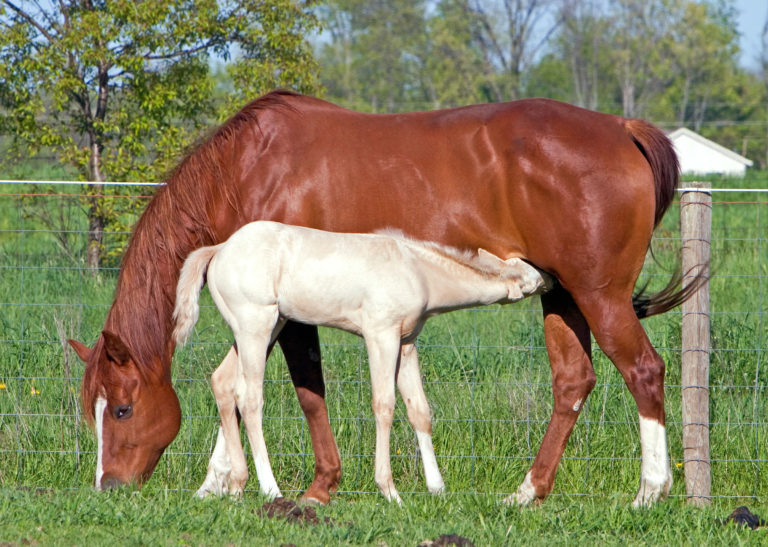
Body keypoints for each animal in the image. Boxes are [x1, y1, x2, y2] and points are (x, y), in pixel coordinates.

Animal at [172, 221, 552, 502]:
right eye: (530, 273)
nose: (551, 278)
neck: (416, 270)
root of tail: (219, 250)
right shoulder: (380, 336)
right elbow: (384, 405)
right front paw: (390, 491)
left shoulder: (406, 343)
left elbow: (420, 410)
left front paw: (437, 488)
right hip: (256, 326)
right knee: (249, 398)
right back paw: (270, 489)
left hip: (263, 327)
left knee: (222, 382)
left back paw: (236, 487)